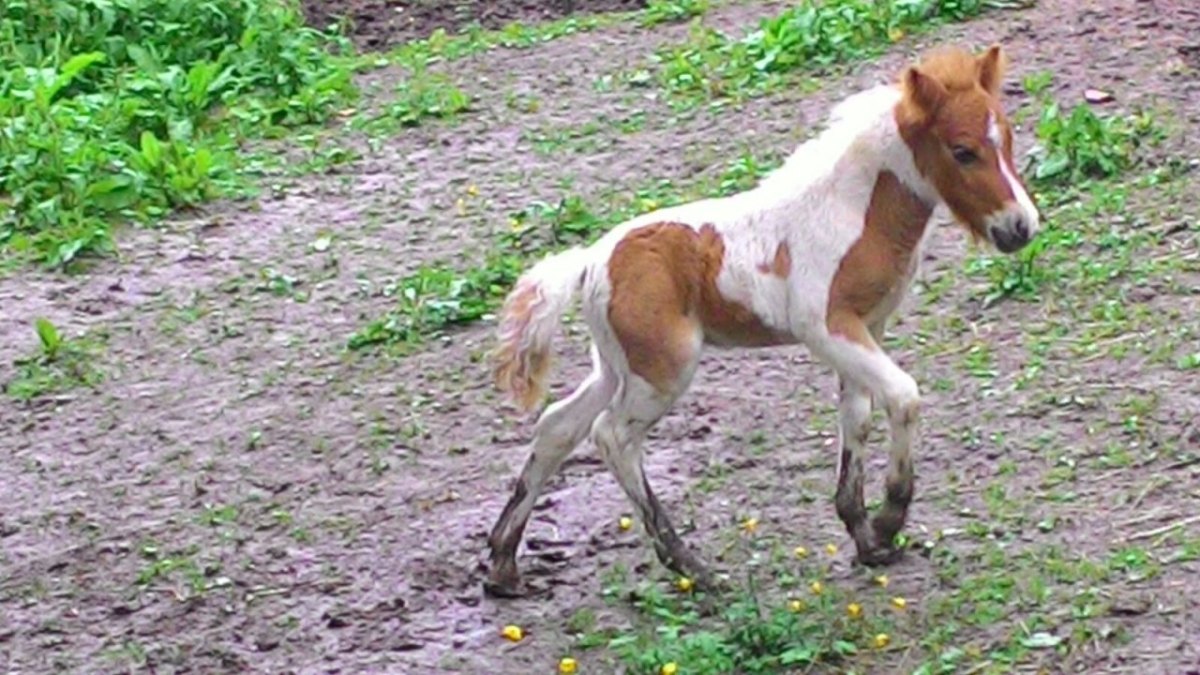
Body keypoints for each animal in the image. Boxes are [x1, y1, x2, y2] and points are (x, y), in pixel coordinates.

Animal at [482, 43, 1036, 593]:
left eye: (1007, 139)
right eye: (962, 151)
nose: (1021, 227)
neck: (851, 213)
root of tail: (591, 260)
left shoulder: (866, 328)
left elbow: (856, 419)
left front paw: (864, 537)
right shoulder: (826, 328)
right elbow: (903, 396)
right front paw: (888, 519)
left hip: (617, 367)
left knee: (557, 427)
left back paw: (503, 564)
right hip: (663, 371)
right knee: (611, 436)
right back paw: (690, 566)